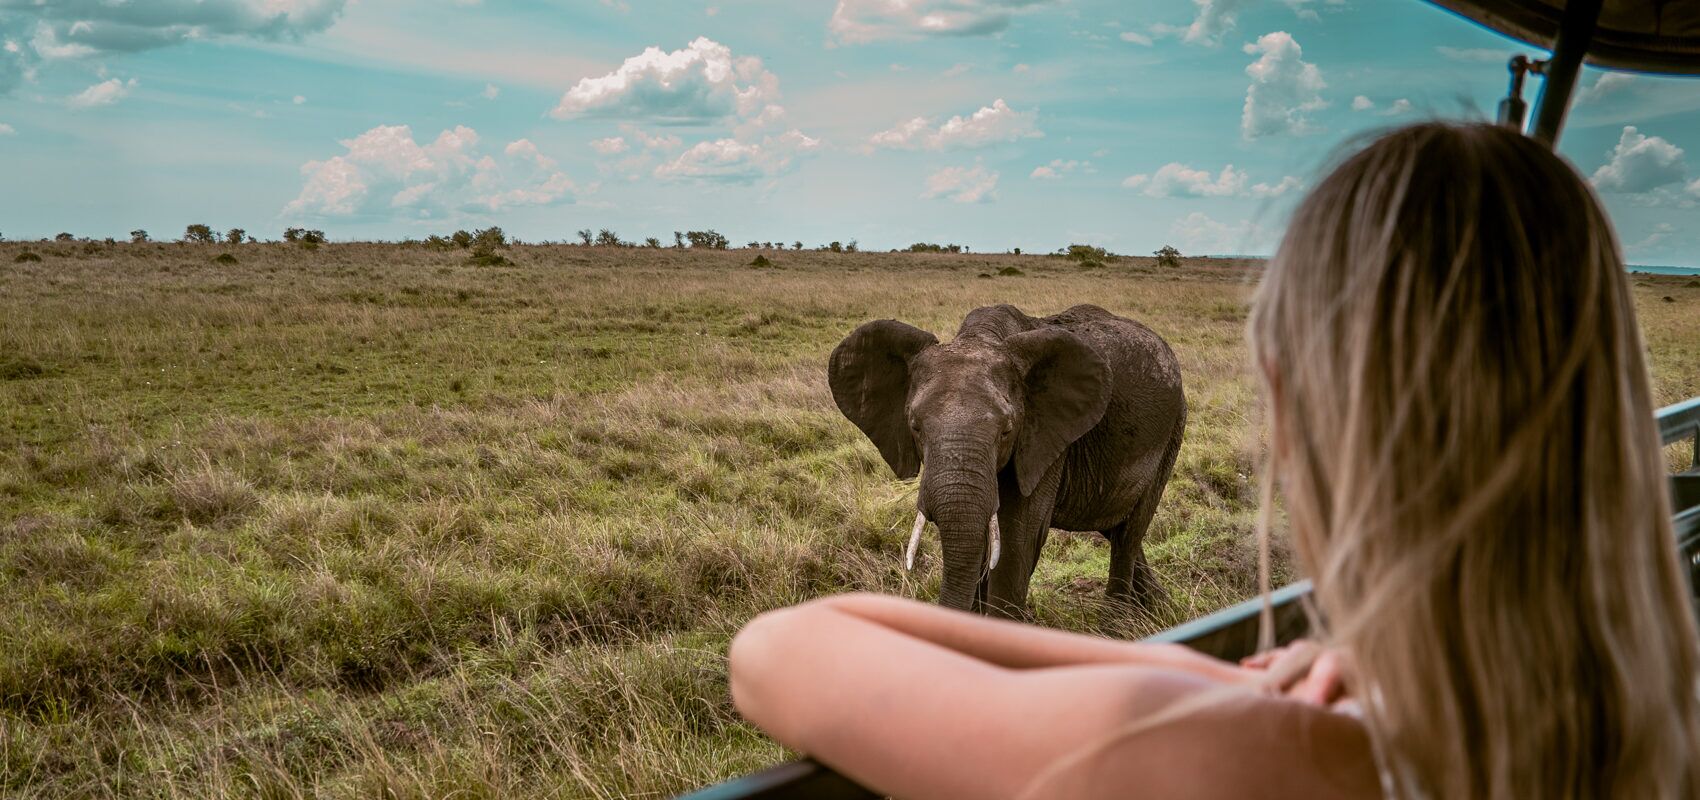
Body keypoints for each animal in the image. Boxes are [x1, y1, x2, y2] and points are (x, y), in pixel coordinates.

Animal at [828, 303, 1186, 618]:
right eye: (915, 426)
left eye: (1006, 430)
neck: (980, 338)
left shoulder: (1042, 439)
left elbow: (1015, 541)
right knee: (1116, 528)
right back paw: (1159, 608)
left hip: (1171, 432)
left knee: (1129, 534)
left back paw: (1117, 625)